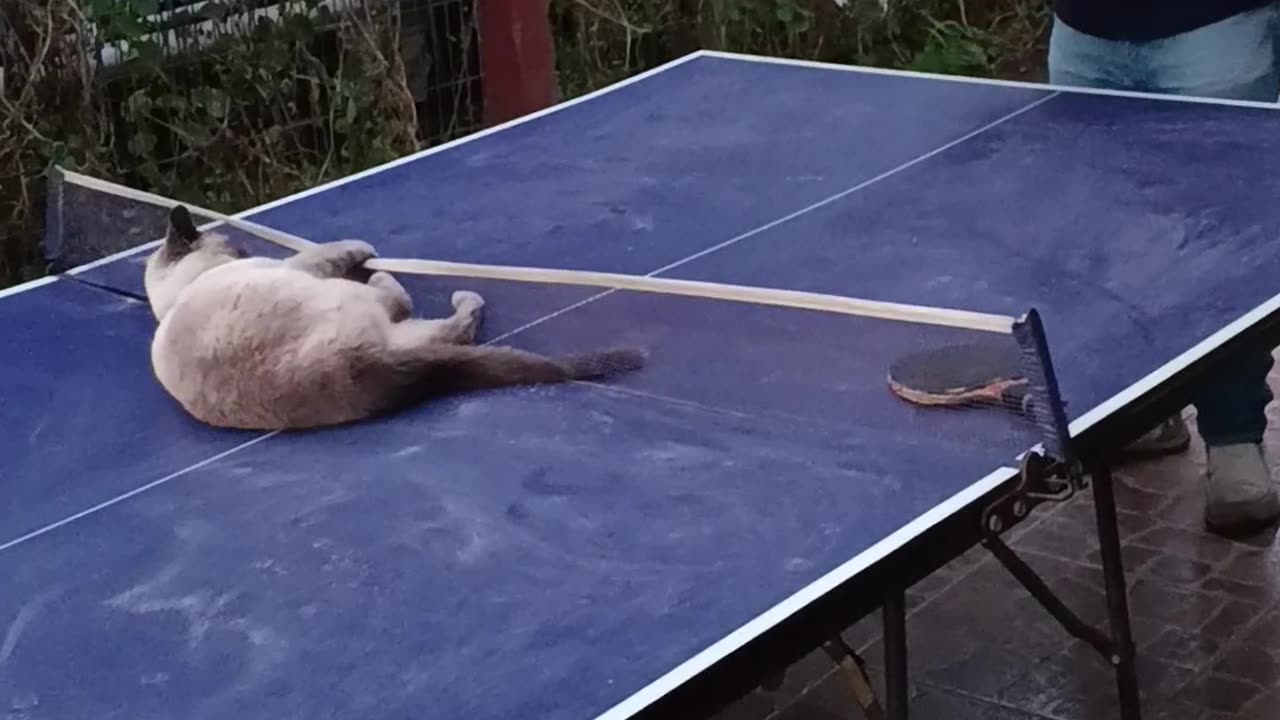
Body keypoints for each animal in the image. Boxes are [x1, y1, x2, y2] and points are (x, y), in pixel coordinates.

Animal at [145, 202, 645, 427]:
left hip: (402, 337)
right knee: (438, 318)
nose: (245, 249)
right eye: (239, 248)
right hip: (344, 299)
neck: (175, 294)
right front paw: (365, 251)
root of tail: (359, 367)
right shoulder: (301, 267)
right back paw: (438, 289)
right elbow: (338, 250)